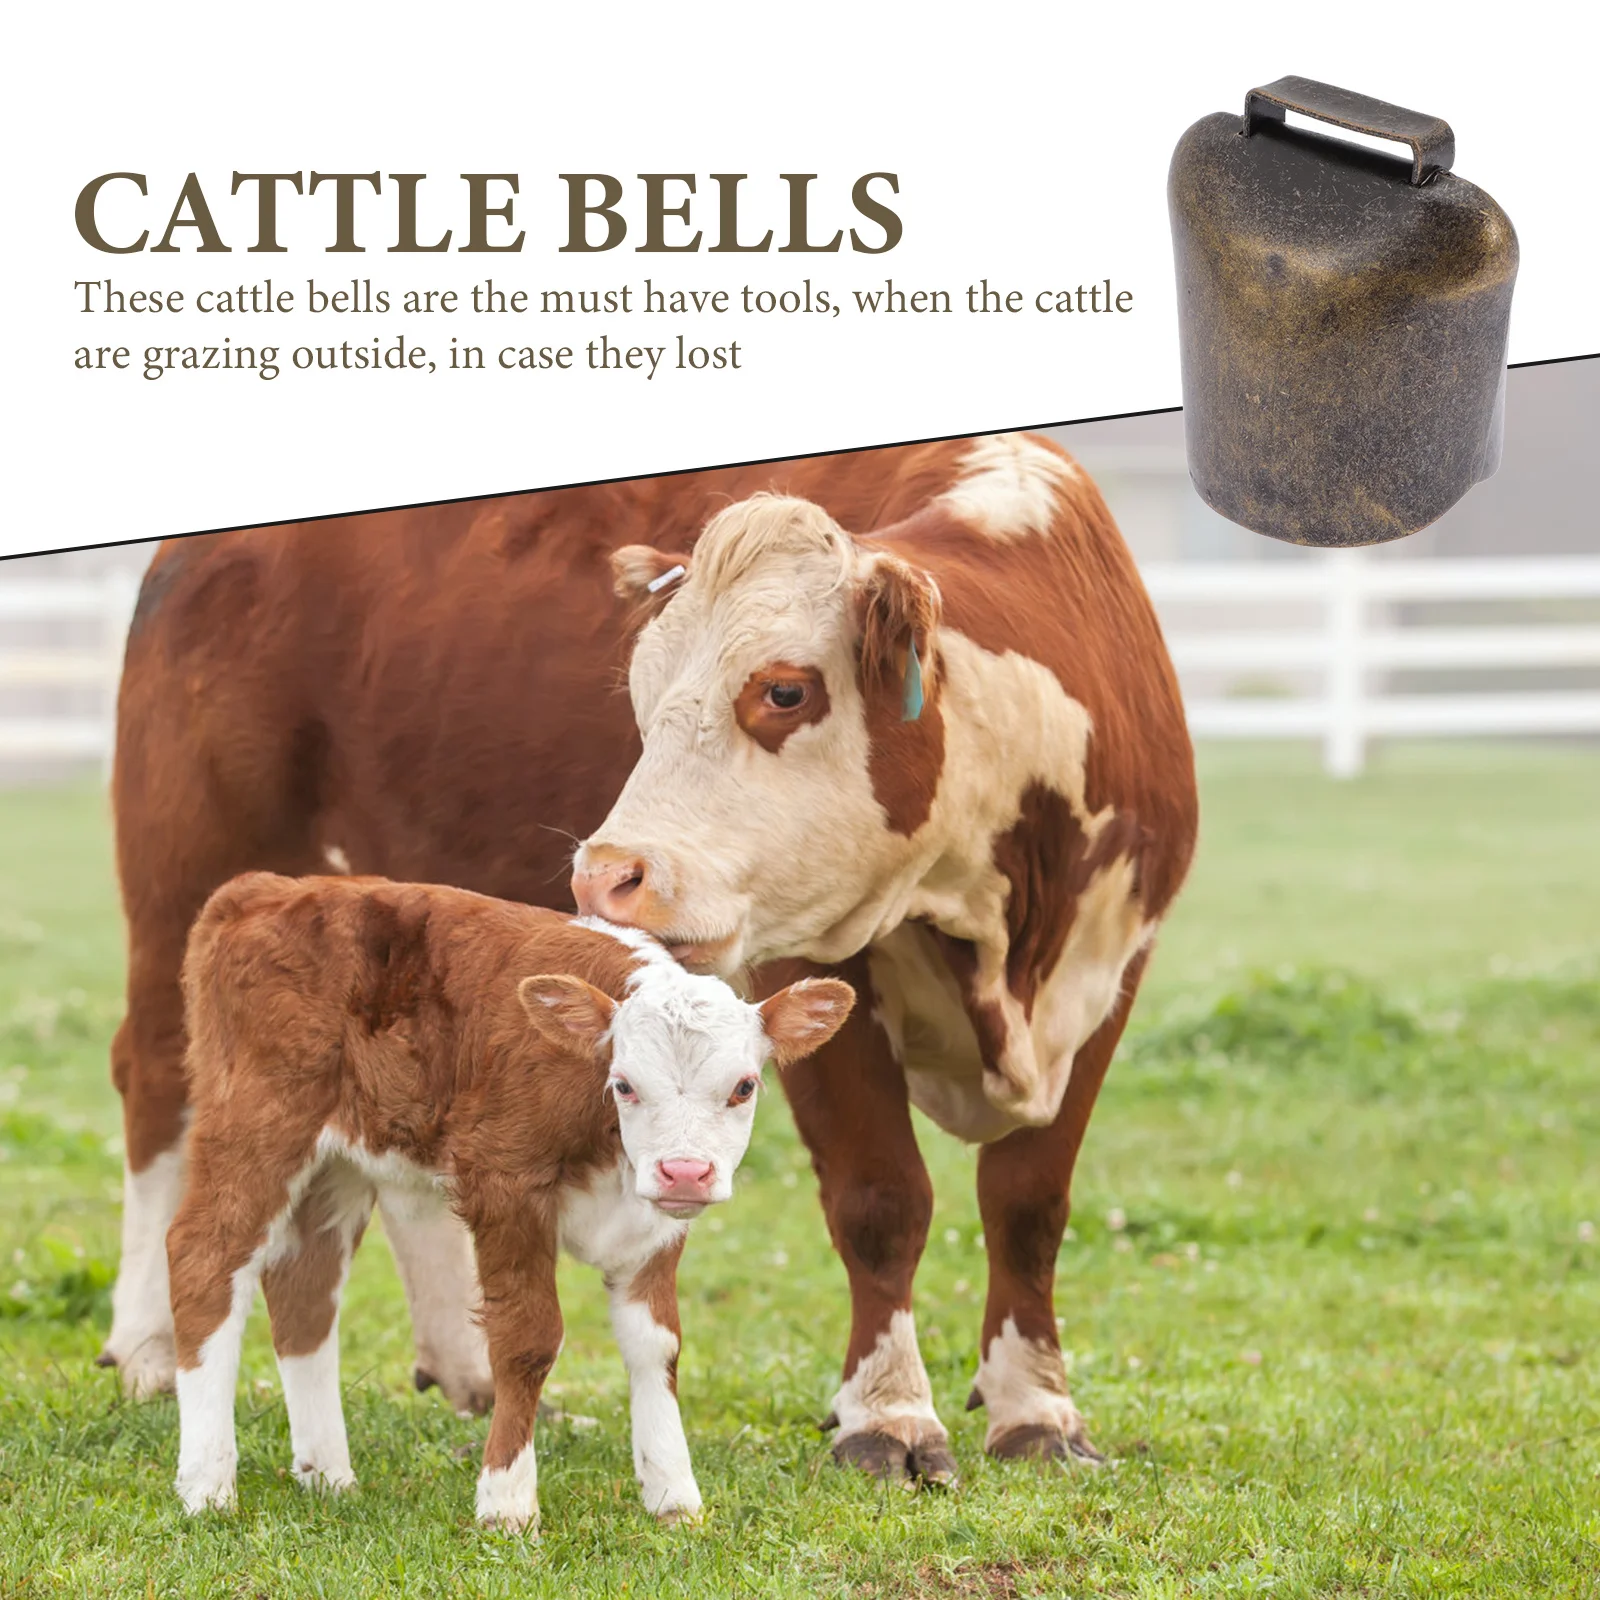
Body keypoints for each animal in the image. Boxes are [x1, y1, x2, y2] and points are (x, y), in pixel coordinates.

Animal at [168, 870, 854, 1527]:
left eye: (744, 1087)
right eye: (625, 1085)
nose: (685, 1172)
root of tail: (267, 889)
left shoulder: (653, 1222)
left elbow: (657, 1346)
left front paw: (673, 1495)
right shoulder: (503, 1182)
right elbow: (528, 1340)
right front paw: (507, 1502)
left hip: (337, 1165)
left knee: (304, 1286)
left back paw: (328, 1476)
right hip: (257, 1121)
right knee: (203, 1259)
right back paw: (207, 1486)